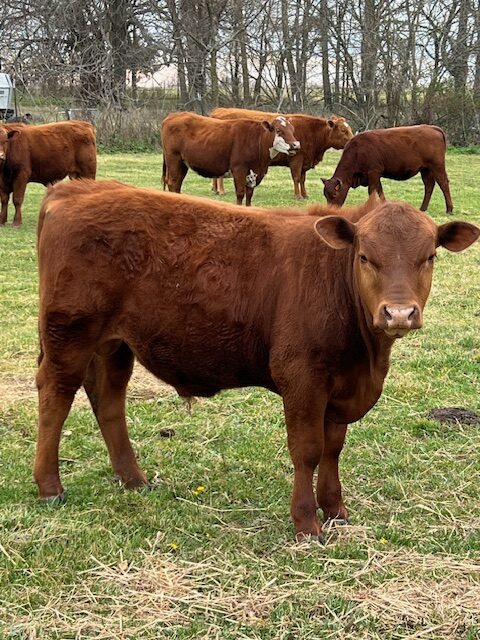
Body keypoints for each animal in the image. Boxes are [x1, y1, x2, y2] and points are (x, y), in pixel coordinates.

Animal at [35, 179, 479, 540]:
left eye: (430, 256)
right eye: (365, 256)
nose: (399, 313)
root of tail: (74, 189)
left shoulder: (341, 385)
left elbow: (334, 448)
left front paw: (335, 509)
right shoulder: (301, 377)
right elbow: (308, 449)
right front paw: (306, 523)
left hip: (115, 344)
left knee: (108, 399)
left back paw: (134, 480)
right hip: (69, 334)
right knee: (55, 397)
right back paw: (50, 487)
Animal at [161, 111, 300, 206]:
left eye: (292, 130)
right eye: (279, 130)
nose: (296, 145)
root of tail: (173, 115)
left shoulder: (253, 174)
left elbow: (249, 196)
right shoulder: (239, 170)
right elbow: (240, 194)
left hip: (182, 164)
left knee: (177, 185)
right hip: (173, 159)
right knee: (173, 183)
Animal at [211, 107, 353, 199]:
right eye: (343, 130)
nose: (353, 140)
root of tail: (219, 111)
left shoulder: (304, 162)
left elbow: (303, 179)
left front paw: (305, 194)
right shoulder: (296, 159)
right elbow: (296, 178)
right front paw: (298, 195)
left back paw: (215, 189)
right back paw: (221, 191)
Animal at [322, 125, 453, 214]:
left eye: (334, 194)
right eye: (325, 195)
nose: (329, 211)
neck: (358, 151)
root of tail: (433, 128)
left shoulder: (373, 173)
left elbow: (372, 191)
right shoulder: (375, 176)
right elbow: (380, 191)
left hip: (437, 167)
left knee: (443, 184)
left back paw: (449, 209)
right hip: (425, 170)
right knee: (429, 186)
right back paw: (422, 208)